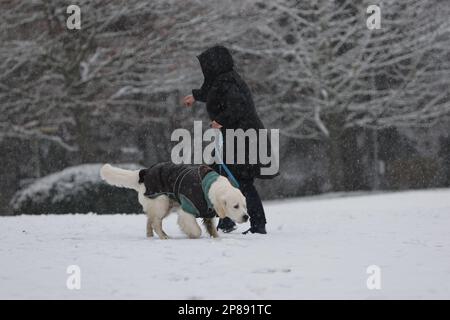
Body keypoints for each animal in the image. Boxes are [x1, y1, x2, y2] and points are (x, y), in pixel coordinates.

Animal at [100, 164, 248, 239]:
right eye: (235, 206)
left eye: (245, 206)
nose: (246, 216)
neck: (209, 188)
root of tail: (144, 173)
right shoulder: (187, 209)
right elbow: (196, 229)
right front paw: (192, 235)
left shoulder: (207, 212)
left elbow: (211, 227)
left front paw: (216, 237)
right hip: (162, 202)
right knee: (155, 222)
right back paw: (163, 236)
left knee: (149, 220)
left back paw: (150, 236)